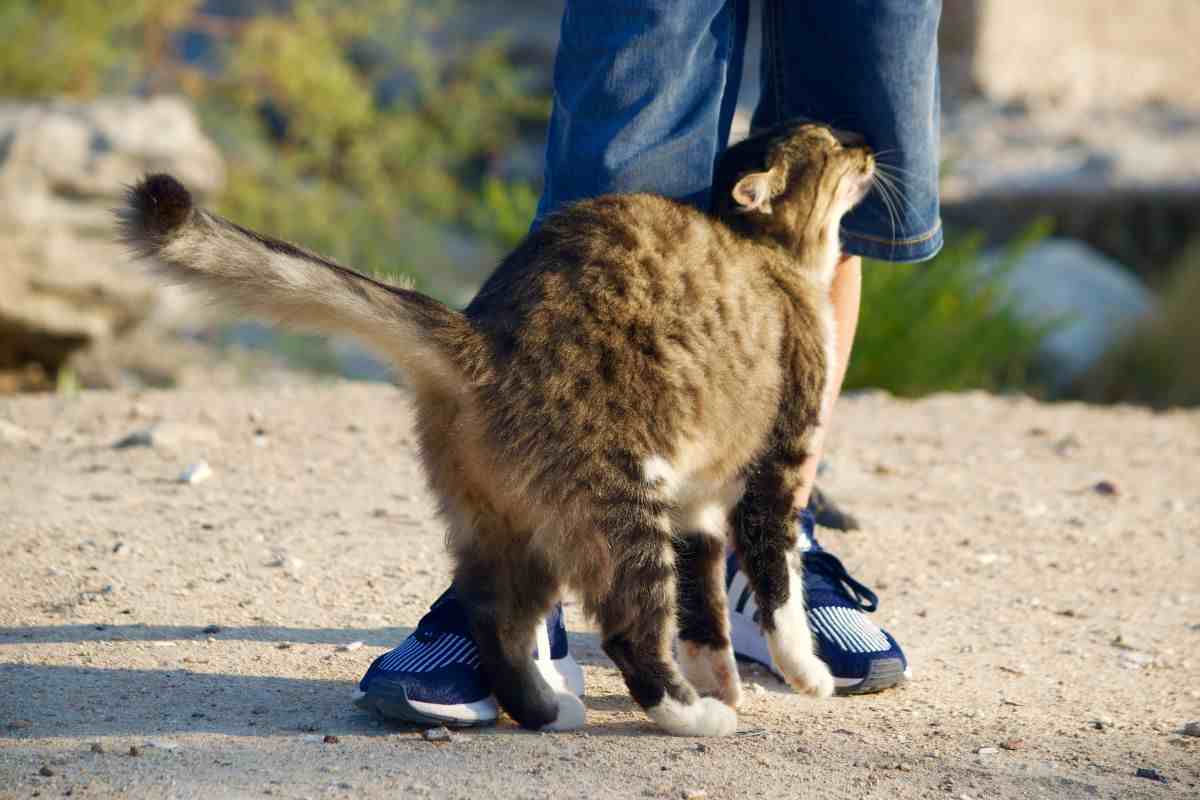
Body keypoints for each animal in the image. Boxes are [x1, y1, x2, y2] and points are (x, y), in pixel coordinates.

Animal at [119, 120, 873, 738]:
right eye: (831, 144)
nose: (868, 145)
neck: (771, 256)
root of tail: (481, 336)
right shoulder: (774, 471)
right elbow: (778, 586)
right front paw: (802, 673)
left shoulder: (696, 508)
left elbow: (705, 614)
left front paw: (722, 676)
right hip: (623, 511)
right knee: (630, 633)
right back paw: (693, 717)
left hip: (511, 525)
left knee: (493, 621)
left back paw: (548, 708)